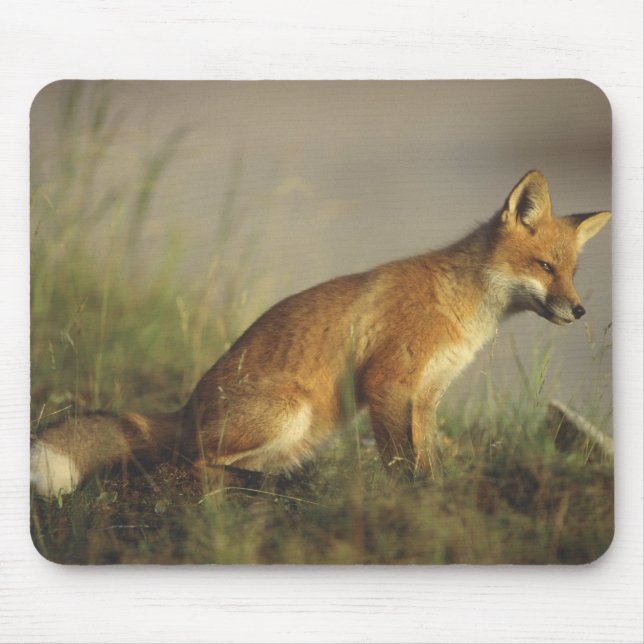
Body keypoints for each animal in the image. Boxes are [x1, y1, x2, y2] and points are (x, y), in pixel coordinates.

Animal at [31, 170, 611, 497]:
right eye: (543, 267)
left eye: (572, 272)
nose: (581, 310)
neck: (461, 308)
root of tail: (186, 408)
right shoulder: (385, 381)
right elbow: (399, 460)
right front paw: (410, 499)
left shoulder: (426, 396)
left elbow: (428, 457)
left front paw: (437, 491)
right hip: (289, 411)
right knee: (191, 465)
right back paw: (256, 485)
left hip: (305, 432)